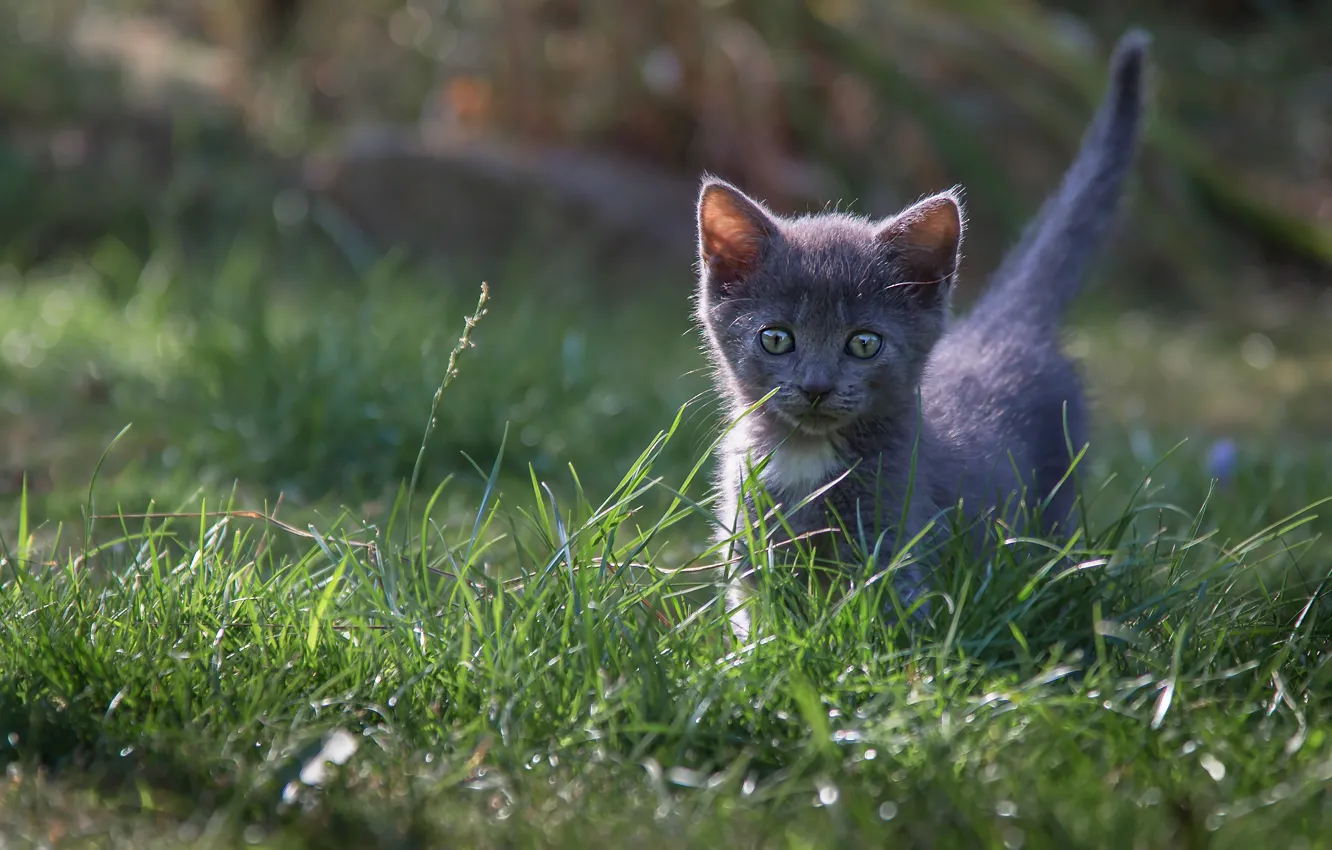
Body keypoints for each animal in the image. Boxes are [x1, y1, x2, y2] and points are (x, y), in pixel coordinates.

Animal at [692, 29, 1150, 639]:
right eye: (776, 338)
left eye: (864, 343)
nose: (815, 386)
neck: (806, 459)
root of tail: (997, 324)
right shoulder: (748, 548)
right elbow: (761, 623)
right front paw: (759, 655)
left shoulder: (895, 542)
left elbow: (879, 628)